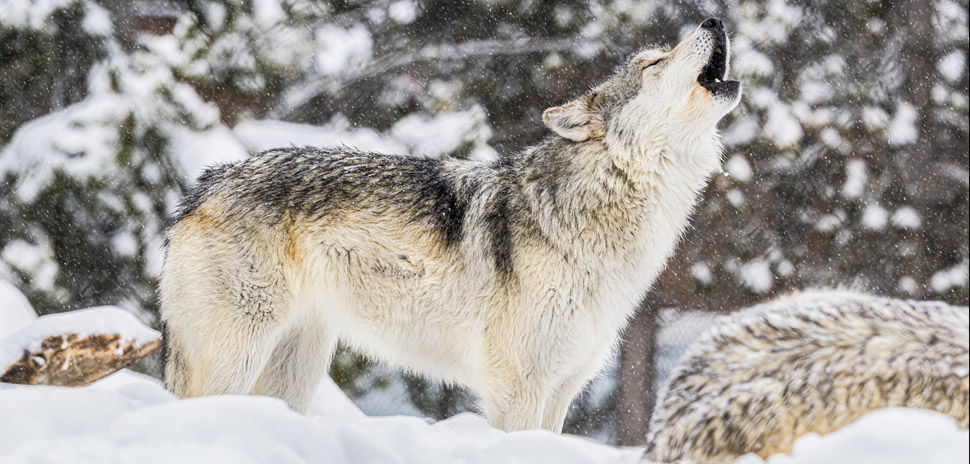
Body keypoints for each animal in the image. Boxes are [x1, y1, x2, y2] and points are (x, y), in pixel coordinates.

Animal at [160, 17, 741, 432]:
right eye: (654, 62)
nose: (714, 18)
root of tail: (204, 185)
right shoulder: (521, 388)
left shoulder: (561, 389)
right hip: (236, 359)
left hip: (293, 371)